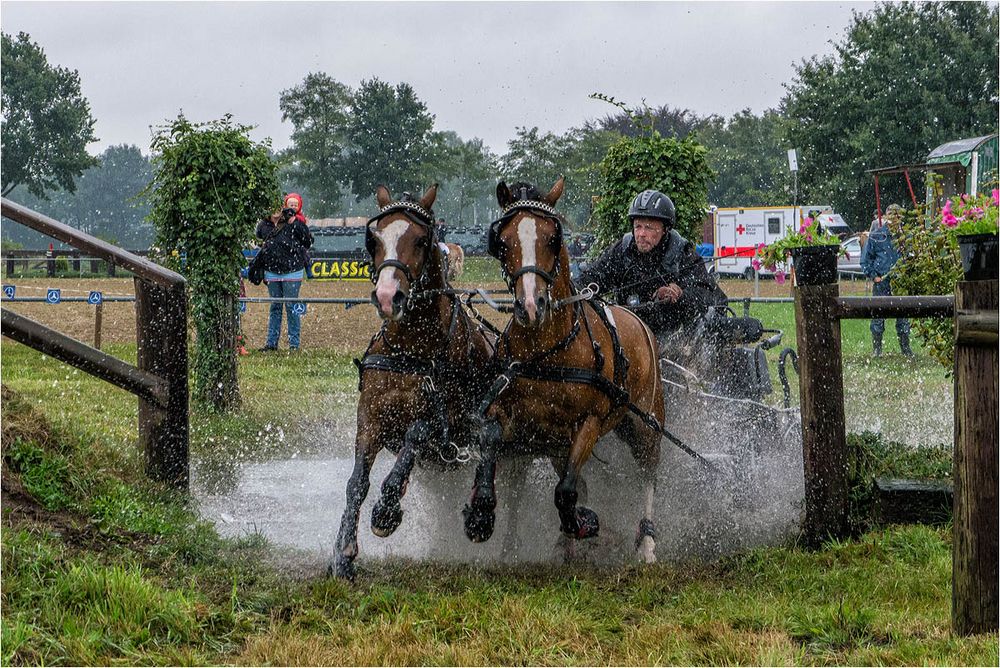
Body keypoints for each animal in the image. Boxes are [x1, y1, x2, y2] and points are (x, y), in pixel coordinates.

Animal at [334, 184, 494, 580]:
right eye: (374, 239)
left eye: (421, 240)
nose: (388, 296)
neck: (411, 349)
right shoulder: (370, 417)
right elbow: (357, 483)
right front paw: (343, 554)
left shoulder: (446, 417)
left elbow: (416, 435)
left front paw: (386, 510)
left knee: (488, 440)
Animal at [464, 179, 668, 564]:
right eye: (503, 240)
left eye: (553, 238)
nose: (531, 306)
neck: (547, 350)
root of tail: (639, 320)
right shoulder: (513, 416)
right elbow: (490, 443)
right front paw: (480, 512)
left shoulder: (589, 422)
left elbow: (567, 490)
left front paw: (581, 522)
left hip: (644, 424)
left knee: (648, 474)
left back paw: (647, 543)